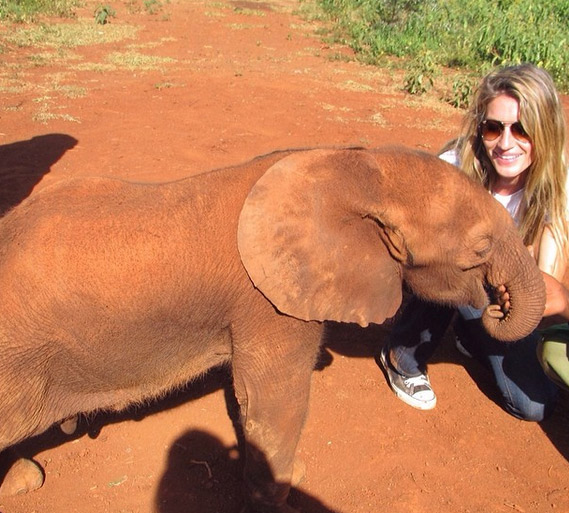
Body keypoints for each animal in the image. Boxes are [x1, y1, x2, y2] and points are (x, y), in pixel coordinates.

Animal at [0, 146, 544, 510]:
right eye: (480, 248)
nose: (495, 307)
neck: (352, 167)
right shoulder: (270, 303)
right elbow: (275, 400)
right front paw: (283, 490)